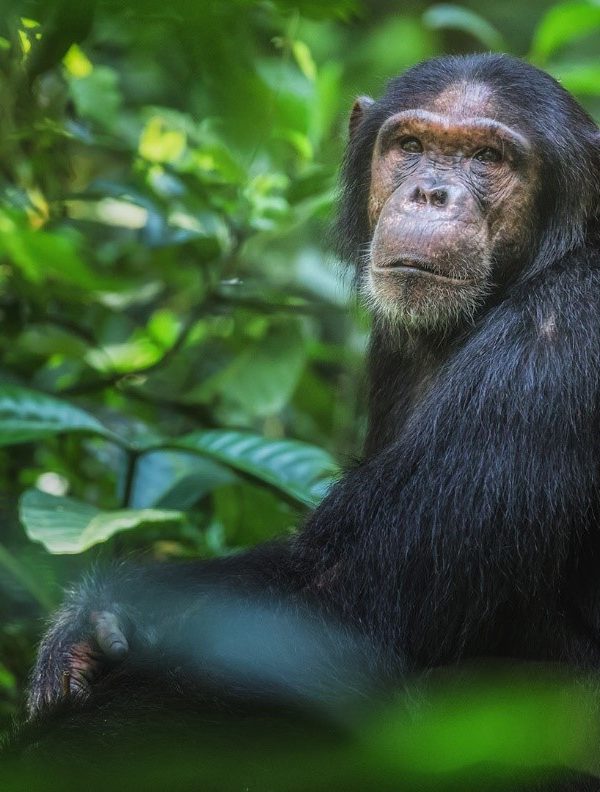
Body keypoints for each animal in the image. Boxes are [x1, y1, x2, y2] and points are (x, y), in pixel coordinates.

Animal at [16, 54, 600, 784]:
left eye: (489, 157)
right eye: (411, 146)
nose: (431, 194)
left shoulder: (560, 341)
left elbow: (330, 611)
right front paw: (91, 621)